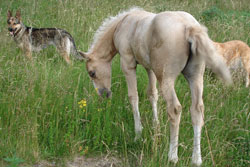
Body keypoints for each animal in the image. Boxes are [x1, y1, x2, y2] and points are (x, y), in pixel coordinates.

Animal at [79, 7, 230, 166]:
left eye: (92, 73)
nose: (104, 94)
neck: (123, 23)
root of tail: (189, 27)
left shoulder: (127, 63)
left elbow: (133, 96)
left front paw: (138, 133)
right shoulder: (149, 67)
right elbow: (152, 94)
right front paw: (156, 125)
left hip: (167, 78)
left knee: (175, 109)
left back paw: (172, 156)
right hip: (195, 77)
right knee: (197, 110)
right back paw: (196, 159)